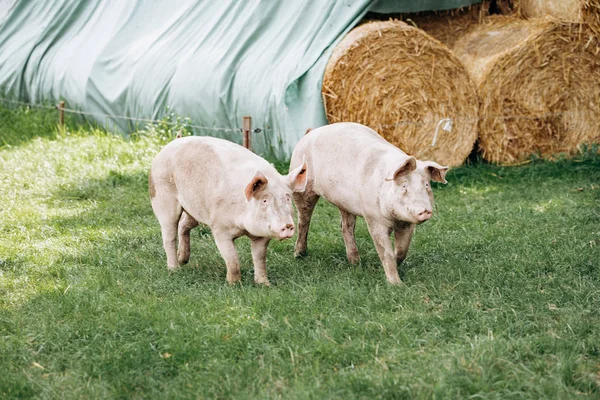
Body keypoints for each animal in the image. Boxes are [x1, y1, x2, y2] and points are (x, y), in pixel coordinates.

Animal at [149, 137, 308, 284]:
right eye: (264, 200)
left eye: (287, 198)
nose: (288, 225)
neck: (243, 226)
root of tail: (168, 146)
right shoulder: (219, 228)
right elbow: (232, 257)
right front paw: (234, 284)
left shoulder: (262, 235)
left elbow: (259, 257)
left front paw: (264, 284)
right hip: (162, 198)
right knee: (169, 235)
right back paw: (174, 269)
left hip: (194, 209)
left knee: (183, 225)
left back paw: (183, 260)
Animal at [288, 122, 448, 284]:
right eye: (404, 186)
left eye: (426, 185)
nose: (425, 210)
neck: (395, 219)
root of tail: (310, 132)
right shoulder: (373, 218)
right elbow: (385, 252)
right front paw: (396, 284)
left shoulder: (407, 224)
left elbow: (402, 251)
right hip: (302, 190)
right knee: (303, 221)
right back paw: (299, 255)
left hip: (345, 203)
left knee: (346, 227)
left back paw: (355, 262)